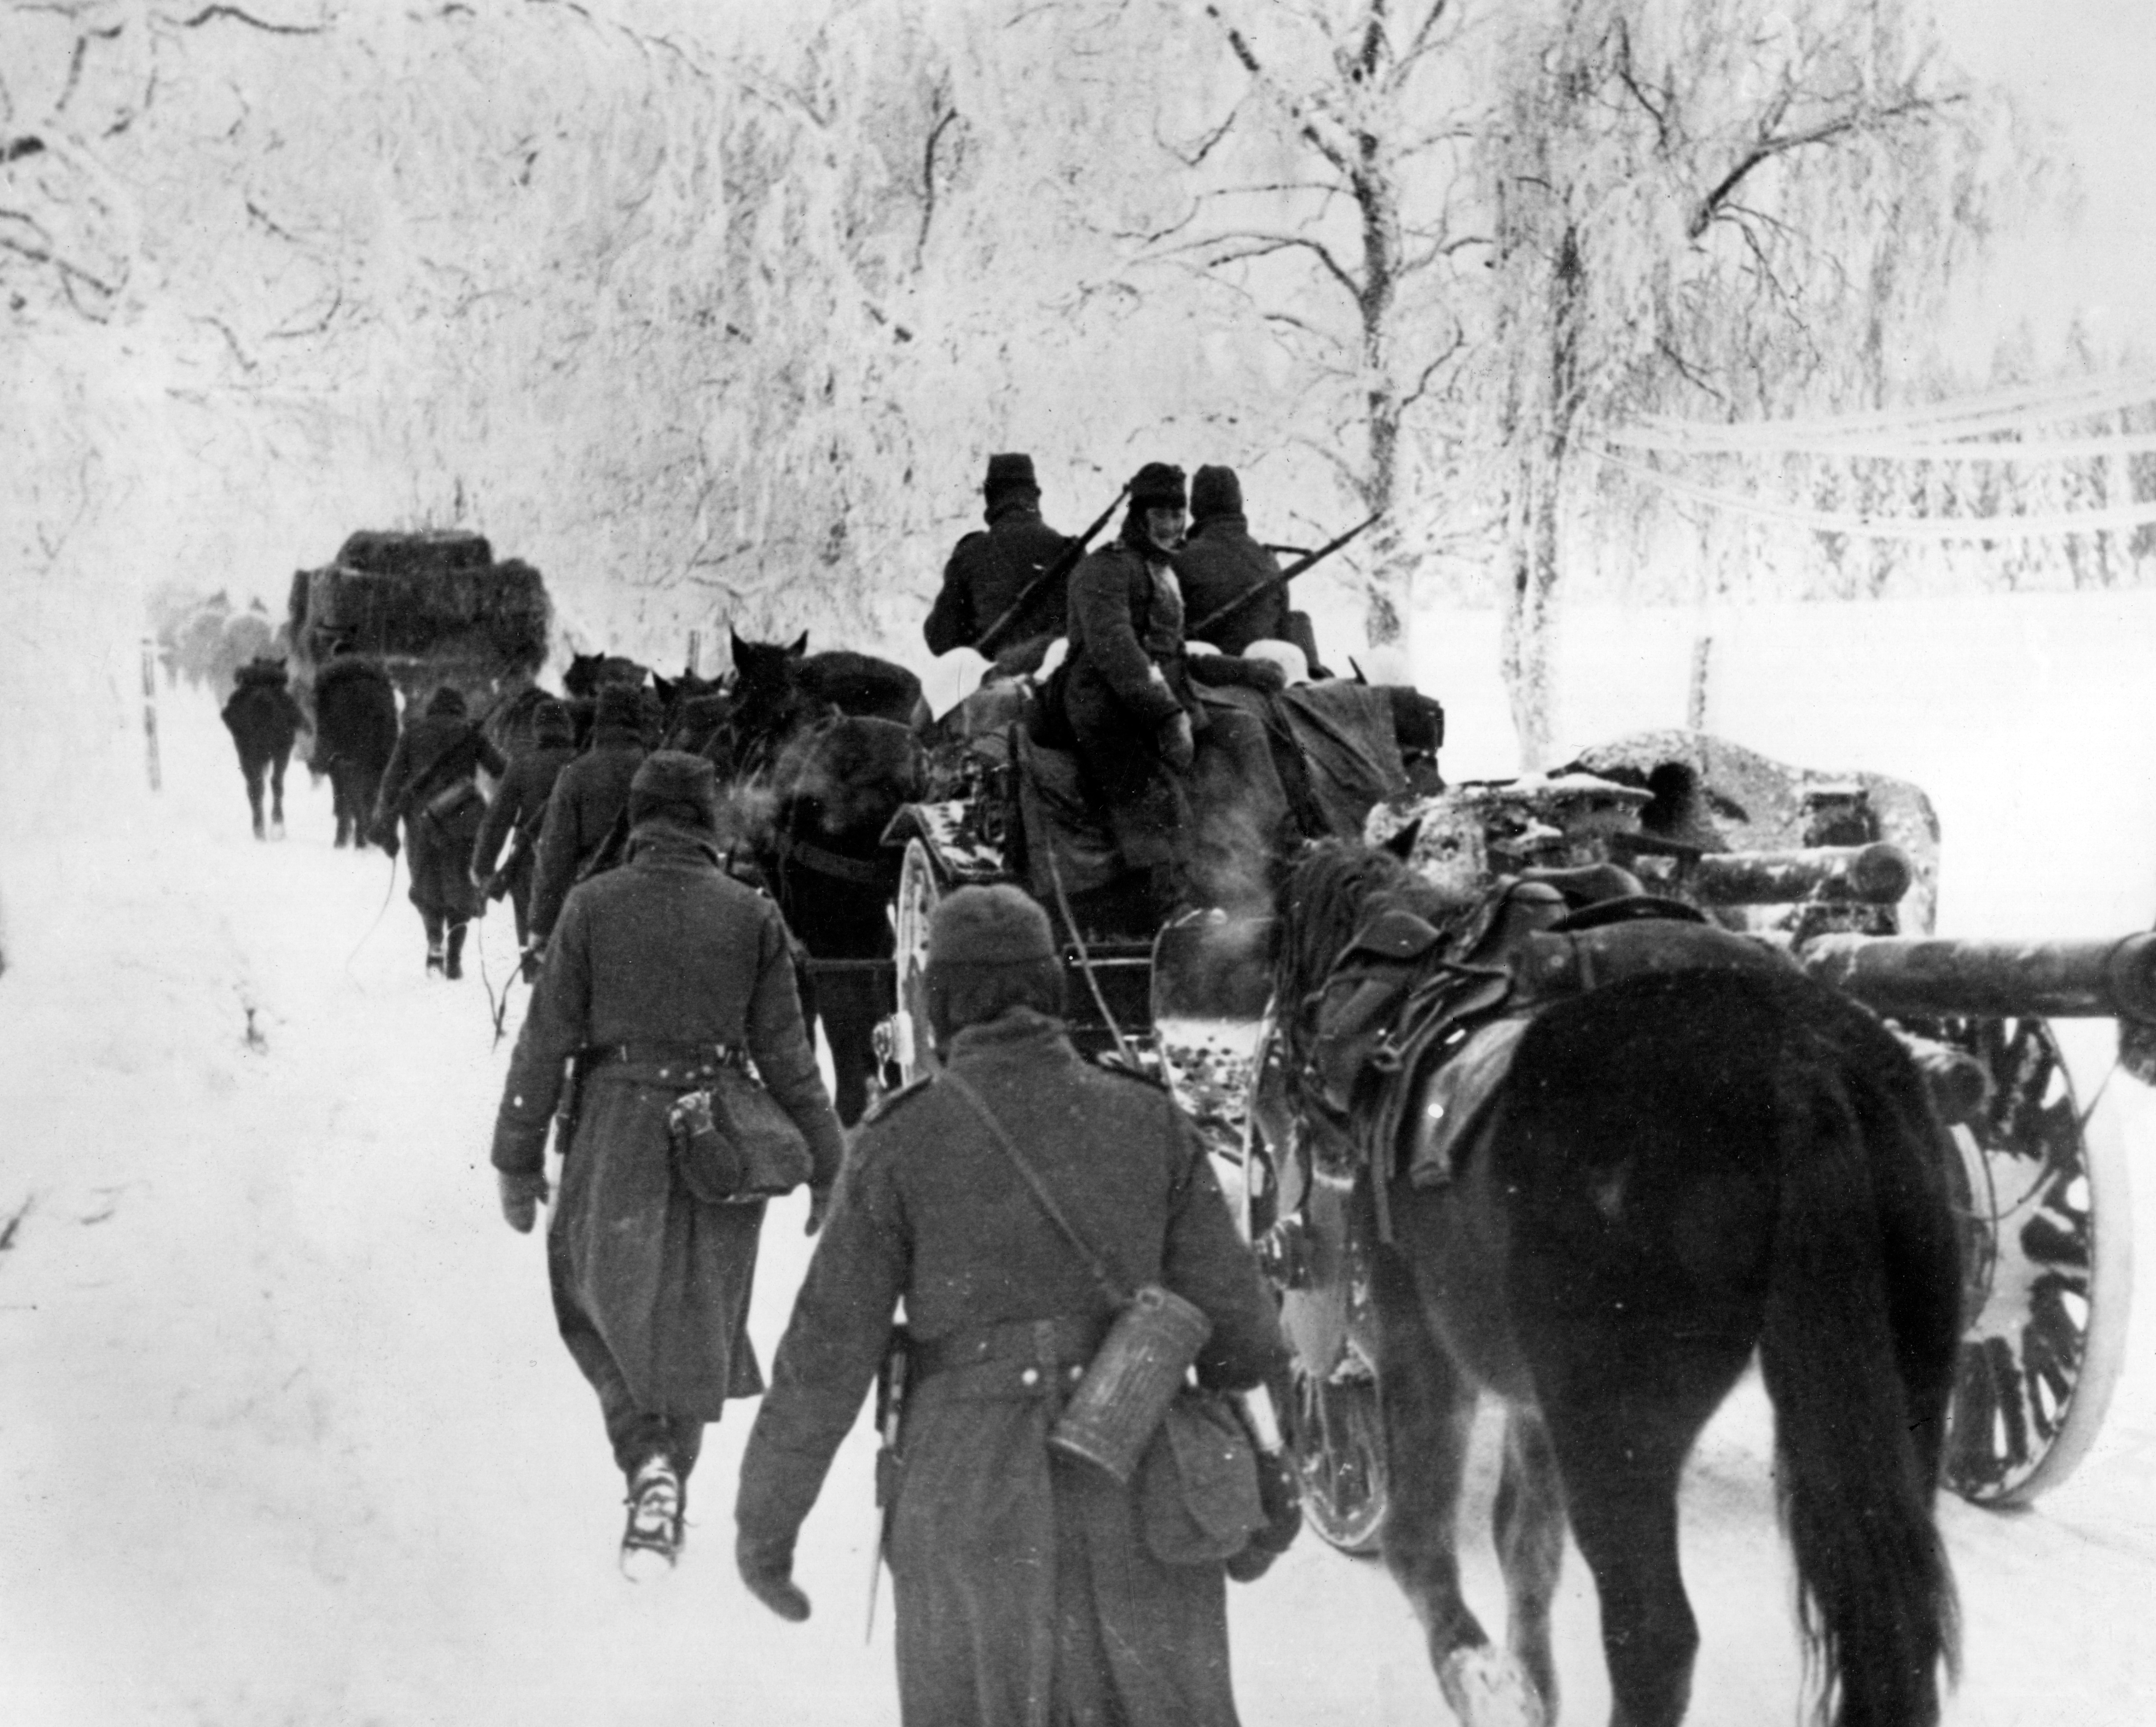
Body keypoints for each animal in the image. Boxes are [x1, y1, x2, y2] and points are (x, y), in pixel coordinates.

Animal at [1268, 841, 1966, 1724]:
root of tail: (1797, 1065)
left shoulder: (1415, 1339)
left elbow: (1418, 1539)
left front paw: (1480, 1676)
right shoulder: (1535, 1402)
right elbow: (1525, 1546)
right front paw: (1526, 1683)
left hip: (1614, 1431)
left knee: (1653, 1635)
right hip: (1905, 1395)